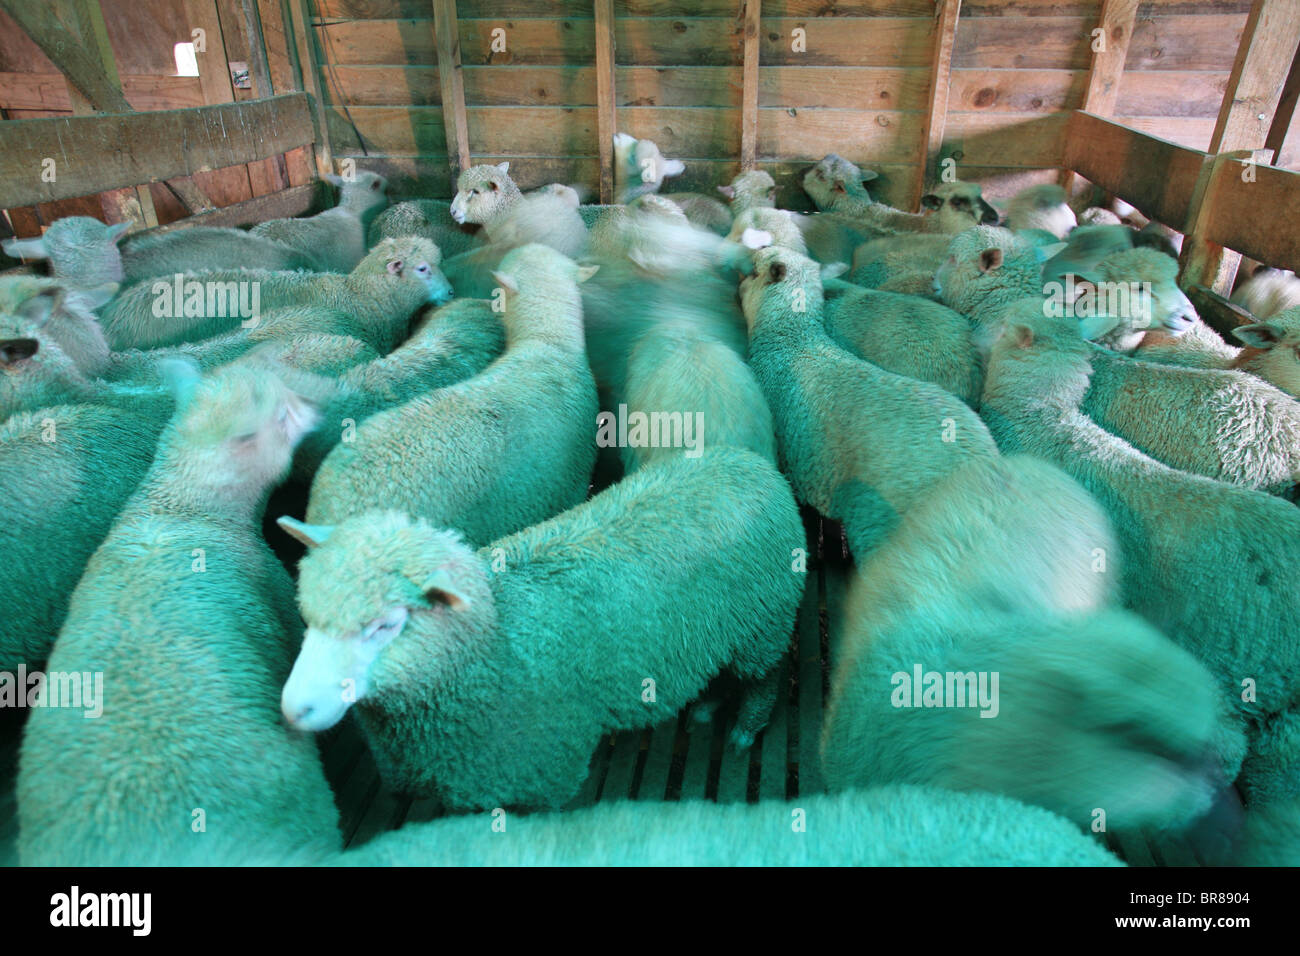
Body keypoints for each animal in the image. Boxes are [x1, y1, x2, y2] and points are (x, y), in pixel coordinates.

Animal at [278, 447, 805, 809]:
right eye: (308, 614)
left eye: (386, 625)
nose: (293, 709)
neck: (496, 651)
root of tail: (750, 462)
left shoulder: (550, 769)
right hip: (724, 630)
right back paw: (709, 705)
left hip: (766, 622)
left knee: (766, 676)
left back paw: (745, 729)